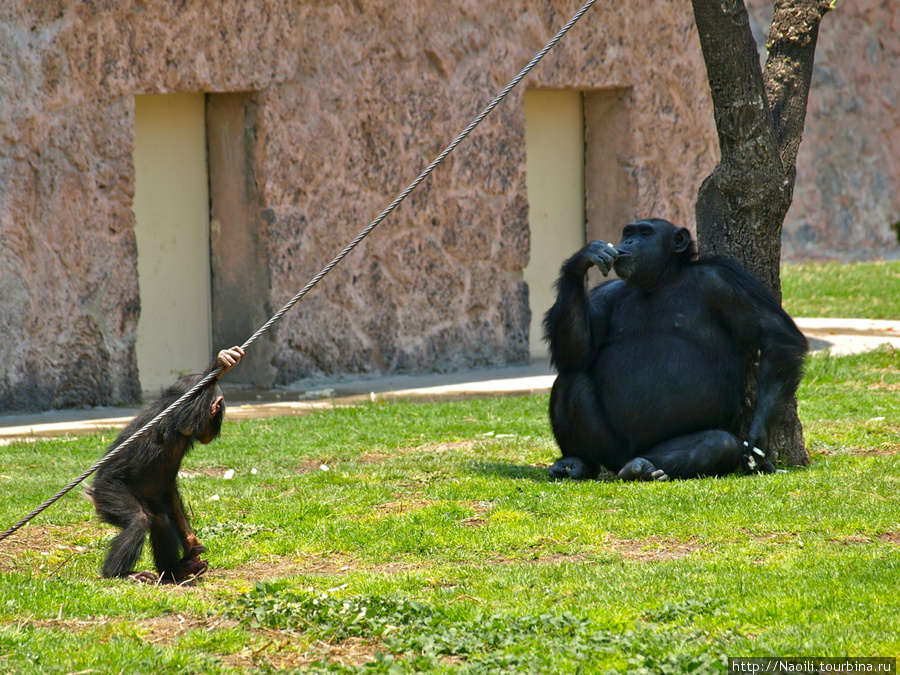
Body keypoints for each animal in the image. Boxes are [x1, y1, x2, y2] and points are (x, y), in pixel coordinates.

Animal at [88, 346, 244, 584]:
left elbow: (170, 491)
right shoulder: (180, 415)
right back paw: (120, 574)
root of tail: (92, 491)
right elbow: (187, 420)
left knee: (160, 520)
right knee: (138, 520)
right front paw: (220, 363)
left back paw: (175, 570)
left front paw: (191, 542)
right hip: (108, 491)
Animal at [540, 220, 808, 480]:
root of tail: (625, 459)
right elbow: (576, 355)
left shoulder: (725, 280)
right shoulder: (605, 296)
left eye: (645, 233)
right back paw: (579, 462)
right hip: (611, 449)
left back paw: (644, 467)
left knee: (718, 443)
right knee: (570, 381)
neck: (660, 281)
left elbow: (776, 334)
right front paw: (583, 259)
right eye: (628, 232)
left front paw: (758, 438)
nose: (628, 242)